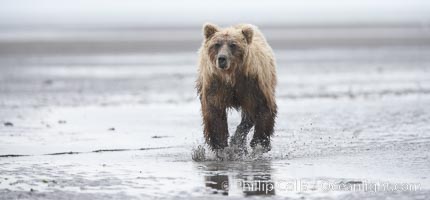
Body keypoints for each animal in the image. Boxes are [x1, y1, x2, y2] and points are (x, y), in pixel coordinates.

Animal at [197, 22, 278, 152]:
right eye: (217, 44)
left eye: (233, 45)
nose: (222, 58)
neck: (231, 76)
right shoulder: (216, 84)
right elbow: (214, 112)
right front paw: (220, 144)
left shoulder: (252, 83)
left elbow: (263, 107)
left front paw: (260, 143)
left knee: (249, 115)